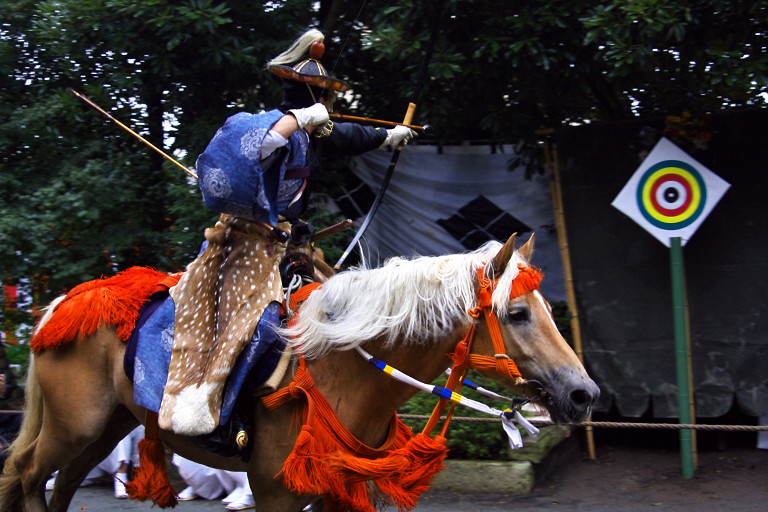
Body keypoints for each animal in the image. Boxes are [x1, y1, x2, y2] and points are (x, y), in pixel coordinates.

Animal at [0, 233, 600, 512]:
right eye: (517, 313)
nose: (583, 393)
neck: (347, 371)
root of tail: (64, 303)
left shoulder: (339, 491)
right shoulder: (277, 492)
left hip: (108, 426)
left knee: (62, 482)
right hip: (74, 424)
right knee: (26, 472)